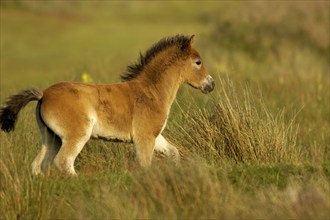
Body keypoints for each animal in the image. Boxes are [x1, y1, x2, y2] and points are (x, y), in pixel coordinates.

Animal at [0, 34, 215, 175]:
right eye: (198, 62)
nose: (211, 84)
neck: (151, 92)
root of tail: (43, 94)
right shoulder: (144, 137)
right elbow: (145, 165)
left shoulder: (155, 135)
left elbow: (173, 153)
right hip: (76, 136)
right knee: (63, 162)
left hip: (51, 137)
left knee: (38, 166)